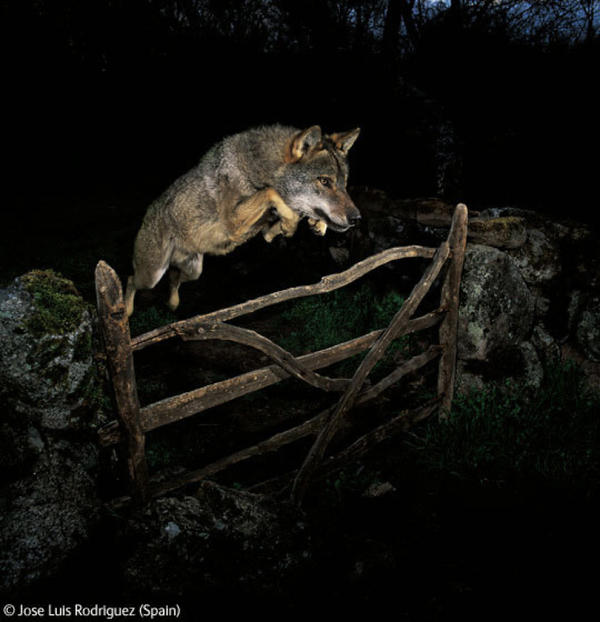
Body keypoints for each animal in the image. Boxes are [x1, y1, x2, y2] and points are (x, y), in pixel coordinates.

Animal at [124, 123, 360, 316]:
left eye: (344, 183)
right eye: (324, 181)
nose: (356, 218)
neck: (257, 169)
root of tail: (148, 213)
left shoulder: (263, 230)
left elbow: (282, 218)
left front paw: (315, 224)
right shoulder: (234, 221)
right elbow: (271, 192)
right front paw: (292, 222)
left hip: (194, 271)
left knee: (173, 278)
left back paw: (172, 304)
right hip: (151, 276)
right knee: (131, 280)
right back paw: (125, 311)